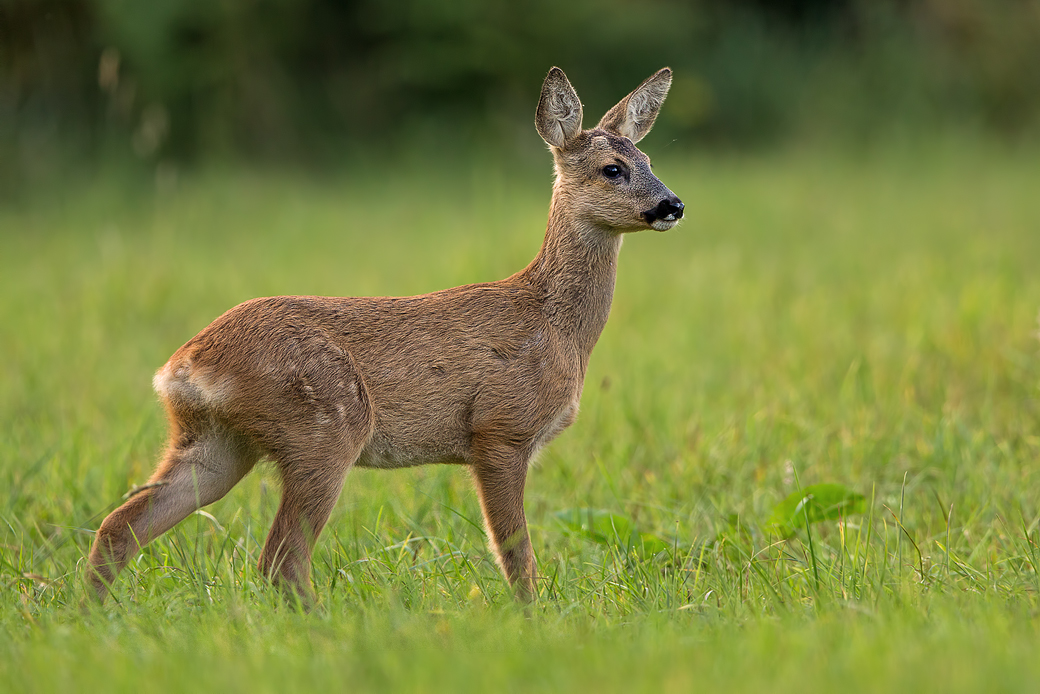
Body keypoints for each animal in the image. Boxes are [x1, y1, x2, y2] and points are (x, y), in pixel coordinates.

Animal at [87, 67, 682, 603]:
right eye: (612, 169)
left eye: (650, 161)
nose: (673, 205)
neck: (555, 326)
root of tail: (184, 366)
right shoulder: (500, 428)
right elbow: (516, 556)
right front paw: (532, 618)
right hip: (324, 427)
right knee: (280, 558)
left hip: (216, 441)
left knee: (120, 525)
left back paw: (92, 614)